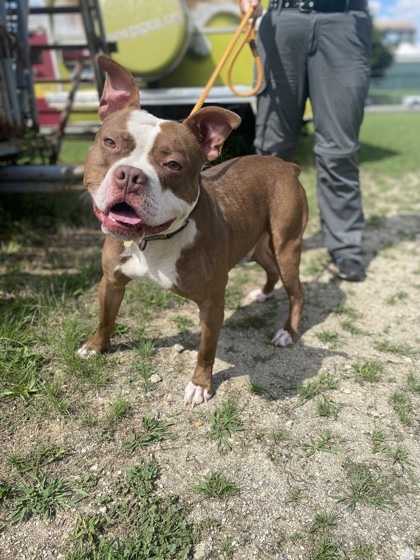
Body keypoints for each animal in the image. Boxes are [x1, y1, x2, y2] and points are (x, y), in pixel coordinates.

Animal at [79, 54, 308, 404]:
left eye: (173, 164)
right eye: (110, 142)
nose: (131, 175)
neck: (154, 239)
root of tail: (286, 165)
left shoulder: (212, 305)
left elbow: (206, 350)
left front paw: (201, 385)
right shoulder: (112, 282)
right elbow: (106, 318)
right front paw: (95, 346)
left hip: (287, 245)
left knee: (296, 291)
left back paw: (287, 332)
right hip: (255, 246)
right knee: (270, 269)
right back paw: (263, 293)